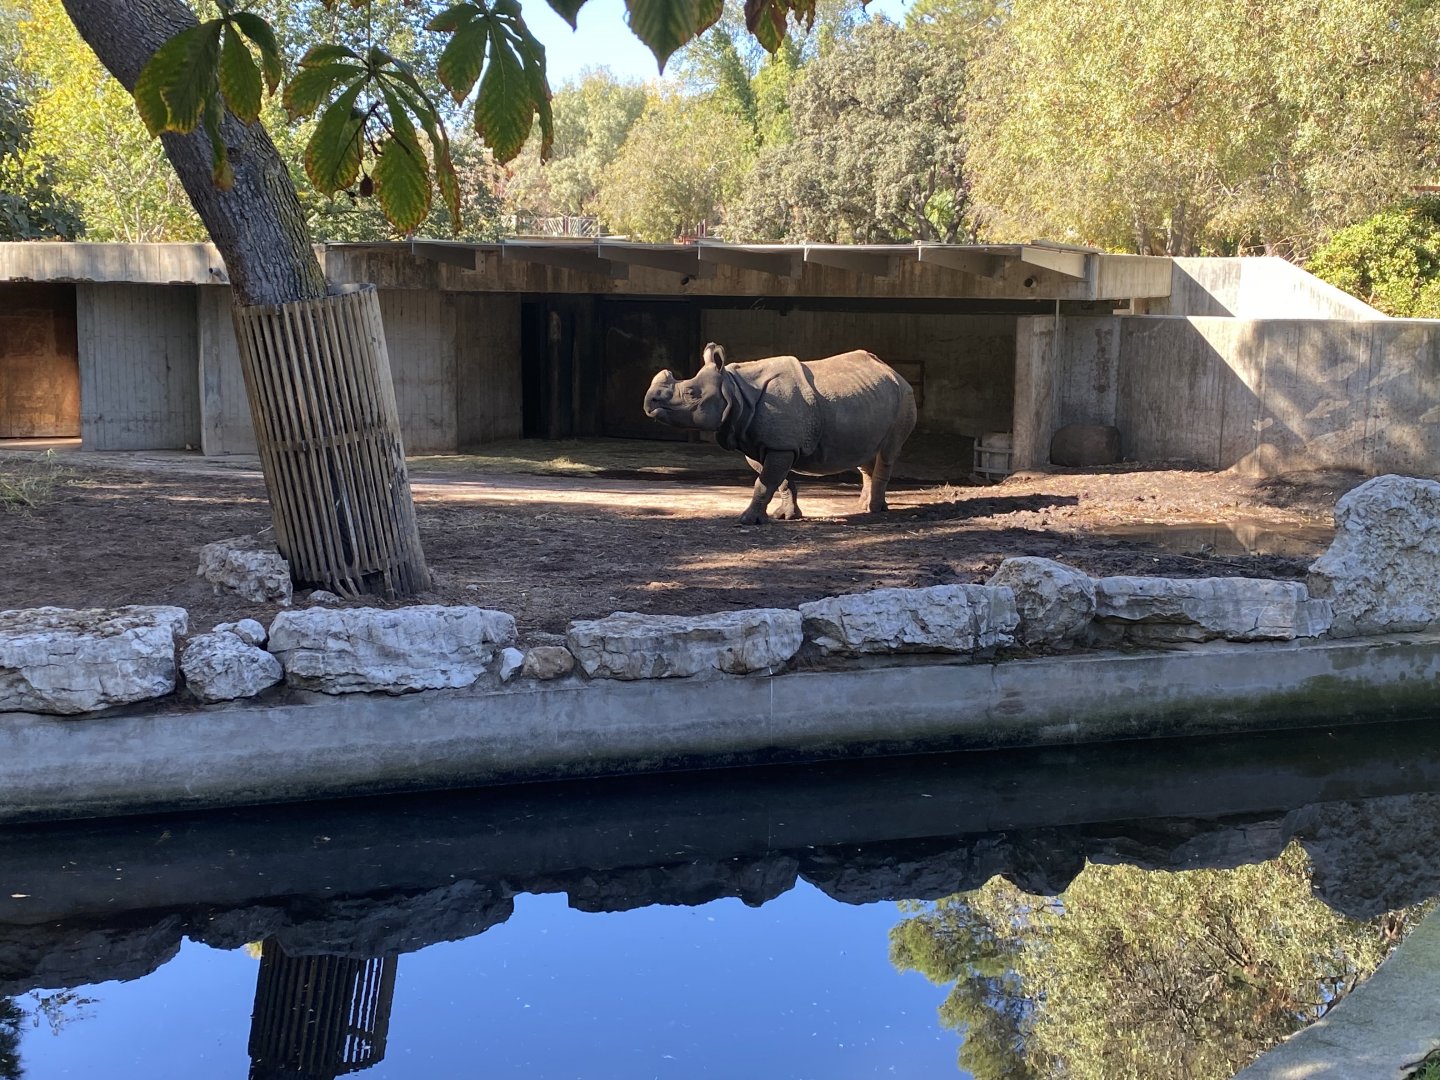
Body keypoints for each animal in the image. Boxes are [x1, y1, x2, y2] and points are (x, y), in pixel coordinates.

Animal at [643, 343, 917, 524]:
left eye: (691, 394)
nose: (649, 403)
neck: (734, 390)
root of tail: (895, 372)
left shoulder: (780, 445)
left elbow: (765, 482)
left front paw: (747, 520)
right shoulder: (758, 443)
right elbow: (778, 480)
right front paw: (785, 516)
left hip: (904, 398)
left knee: (888, 452)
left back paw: (873, 510)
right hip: (869, 399)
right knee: (864, 455)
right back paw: (865, 505)